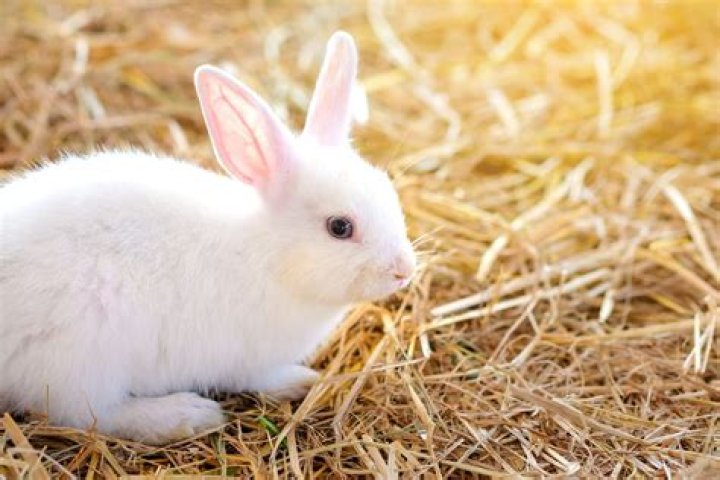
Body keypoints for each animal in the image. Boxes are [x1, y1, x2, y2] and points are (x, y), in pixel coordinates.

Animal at [0, 31, 416, 445]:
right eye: (339, 227)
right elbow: (262, 378)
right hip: (83, 358)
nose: (404, 270)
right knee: (88, 414)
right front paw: (301, 380)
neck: (269, 255)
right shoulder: (251, 359)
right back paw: (187, 415)